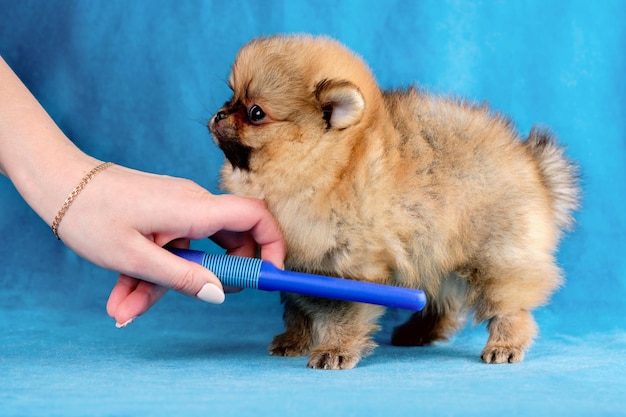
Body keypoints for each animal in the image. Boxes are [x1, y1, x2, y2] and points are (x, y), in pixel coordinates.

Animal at [207, 34, 576, 368]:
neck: (332, 164)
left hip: (494, 254)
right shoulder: (299, 261)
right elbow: (297, 307)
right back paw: (419, 332)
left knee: (508, 303)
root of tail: (535, 166)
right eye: (231, 96)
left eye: (256, 112)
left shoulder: (349, 264)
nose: (219, 114)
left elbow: (343, 313)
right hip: (432, 249)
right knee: (442, 299)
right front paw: (295, 339)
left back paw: (505, 343)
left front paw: (335, 349)